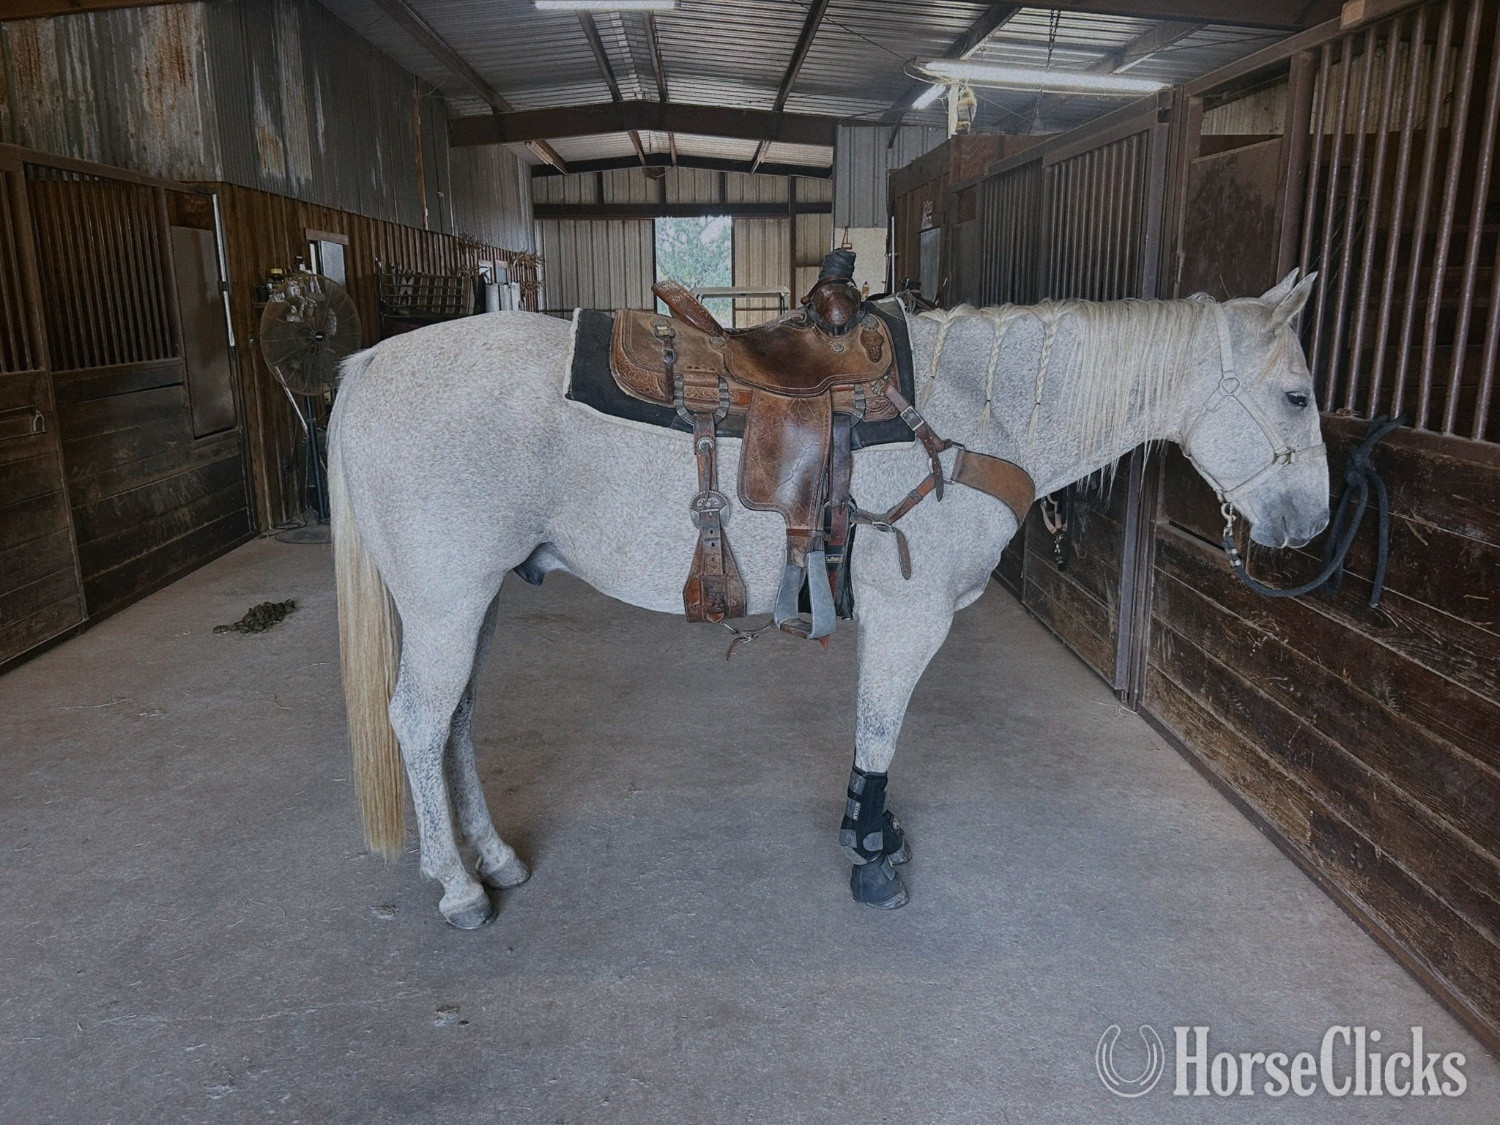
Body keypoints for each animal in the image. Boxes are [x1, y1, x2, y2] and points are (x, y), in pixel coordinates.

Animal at [328, 269, 1327, 928]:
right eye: (1296, 394)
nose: (1312, 522)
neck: (975, 409)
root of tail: (369, 363)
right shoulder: (911, 617)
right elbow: (879, 734)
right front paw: (872, 855)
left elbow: (871, 734)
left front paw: (872, 835)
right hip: (449, 603)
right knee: (419, 721)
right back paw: (460, 887)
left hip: (473, 602)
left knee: (455, 719)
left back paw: (493, 857)